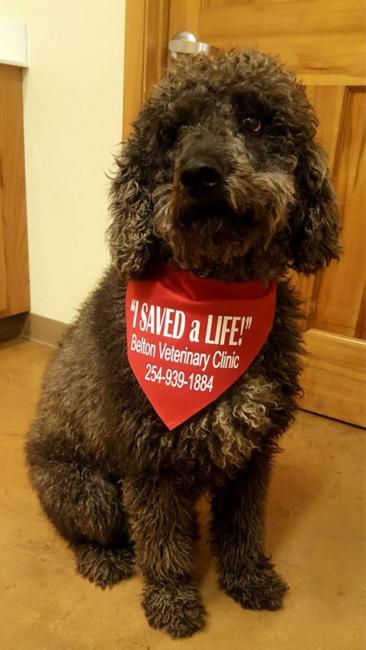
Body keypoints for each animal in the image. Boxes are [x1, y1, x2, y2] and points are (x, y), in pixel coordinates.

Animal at [25, 52, 340, 636]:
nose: (199, 174)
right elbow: (161, 542)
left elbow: (243, 527)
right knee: (90, 529)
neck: (215, 300)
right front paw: (173, 599)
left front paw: (247, 578)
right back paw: (103, 558)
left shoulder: (253, 454)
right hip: (91, 492)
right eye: (173, 133)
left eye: (255, 121)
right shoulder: (150, 465)